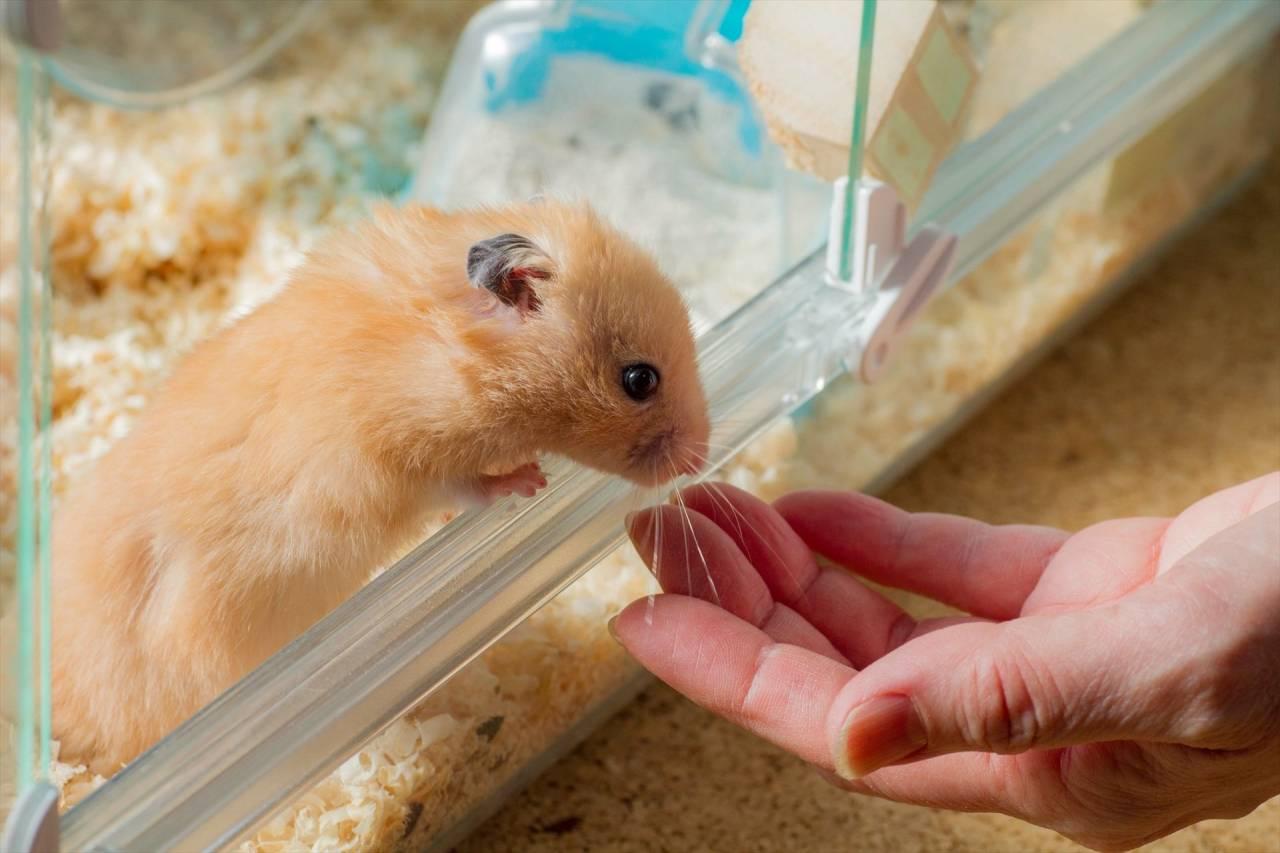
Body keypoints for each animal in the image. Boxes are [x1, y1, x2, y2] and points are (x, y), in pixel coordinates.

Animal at [51, 199, 710, 774]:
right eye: (639, 379)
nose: (702, 456)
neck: (444, 346)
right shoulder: (393, 463)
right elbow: (465, 487)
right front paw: (530, 480)